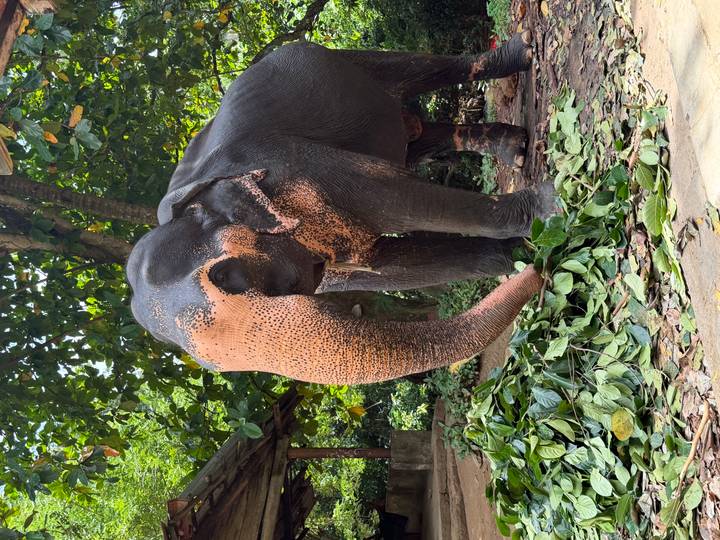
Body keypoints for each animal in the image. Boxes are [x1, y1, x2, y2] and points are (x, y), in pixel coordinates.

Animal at [126, 31, 555, 385]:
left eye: (229, 277)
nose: (542, 271)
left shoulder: (295, 169)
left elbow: (394, 198)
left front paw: (548, 209)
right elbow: (392, 266)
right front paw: (519, 254)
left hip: (340, 61)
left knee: (413, 69)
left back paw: (522, 53)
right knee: (420, 136)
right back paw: (514, 150)